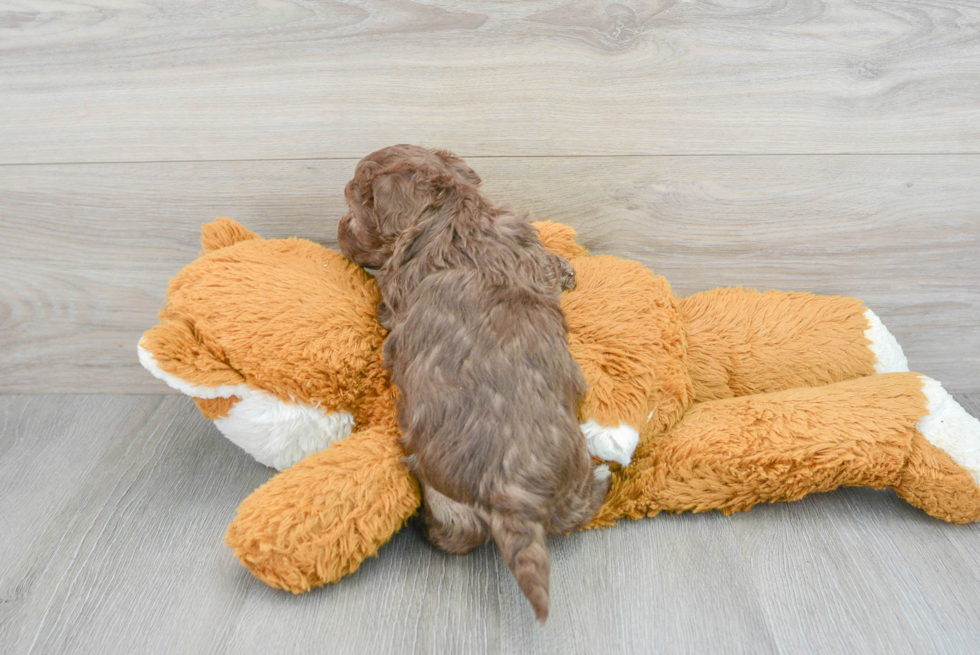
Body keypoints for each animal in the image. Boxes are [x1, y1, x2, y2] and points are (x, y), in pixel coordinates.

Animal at [340, 146, 608, 624]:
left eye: (354, 206)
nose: (336, 231)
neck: (453, 209)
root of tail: (514, 493)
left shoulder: (395, 293)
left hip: (449, 499)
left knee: (455, 534)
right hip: (571, 482)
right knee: (579, 511)